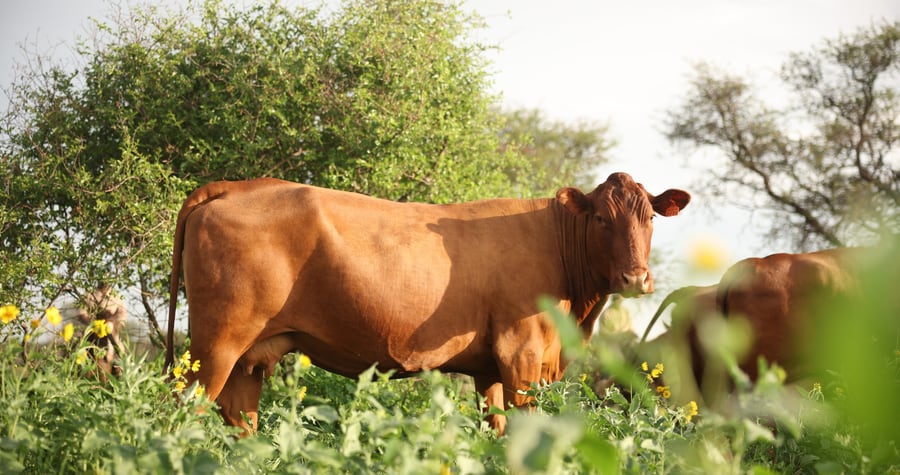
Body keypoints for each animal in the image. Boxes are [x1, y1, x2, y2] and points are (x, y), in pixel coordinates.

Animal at [165, 172, 690, 434]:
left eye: (649, 219)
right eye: (601, 218)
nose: (636, 277)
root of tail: (238, 186)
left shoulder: (490, 368)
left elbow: (497, 430)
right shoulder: (522, 357)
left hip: (246, 358)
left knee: (240, 419)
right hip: (215, 347)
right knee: (183, 412)